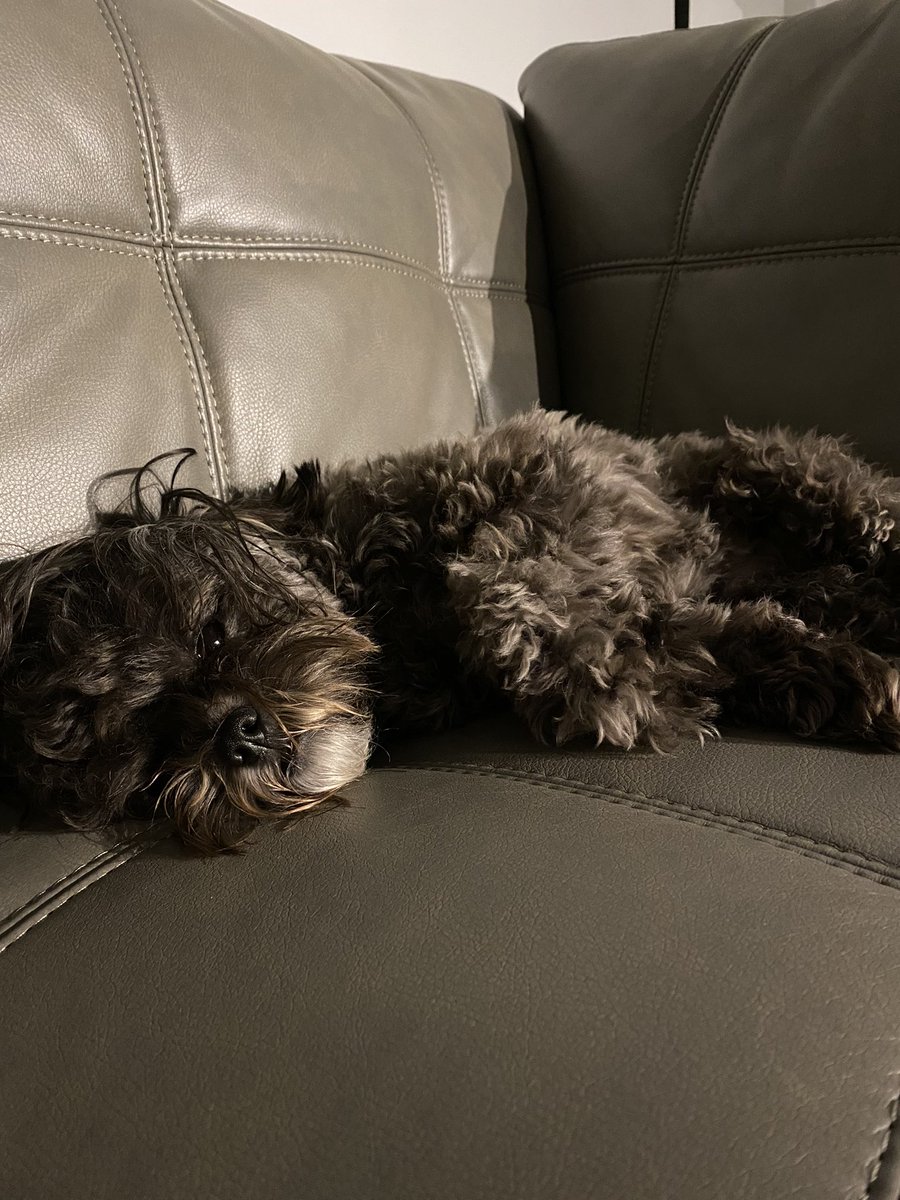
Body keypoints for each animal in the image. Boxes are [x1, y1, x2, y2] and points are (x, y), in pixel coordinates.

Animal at [1, 412, 900, 854]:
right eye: (152, 761)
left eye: (216, 635)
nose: (237, 735)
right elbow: (701, 635)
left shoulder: (543, 466)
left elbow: (508, 575)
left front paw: (596, 668)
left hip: (775, 470)